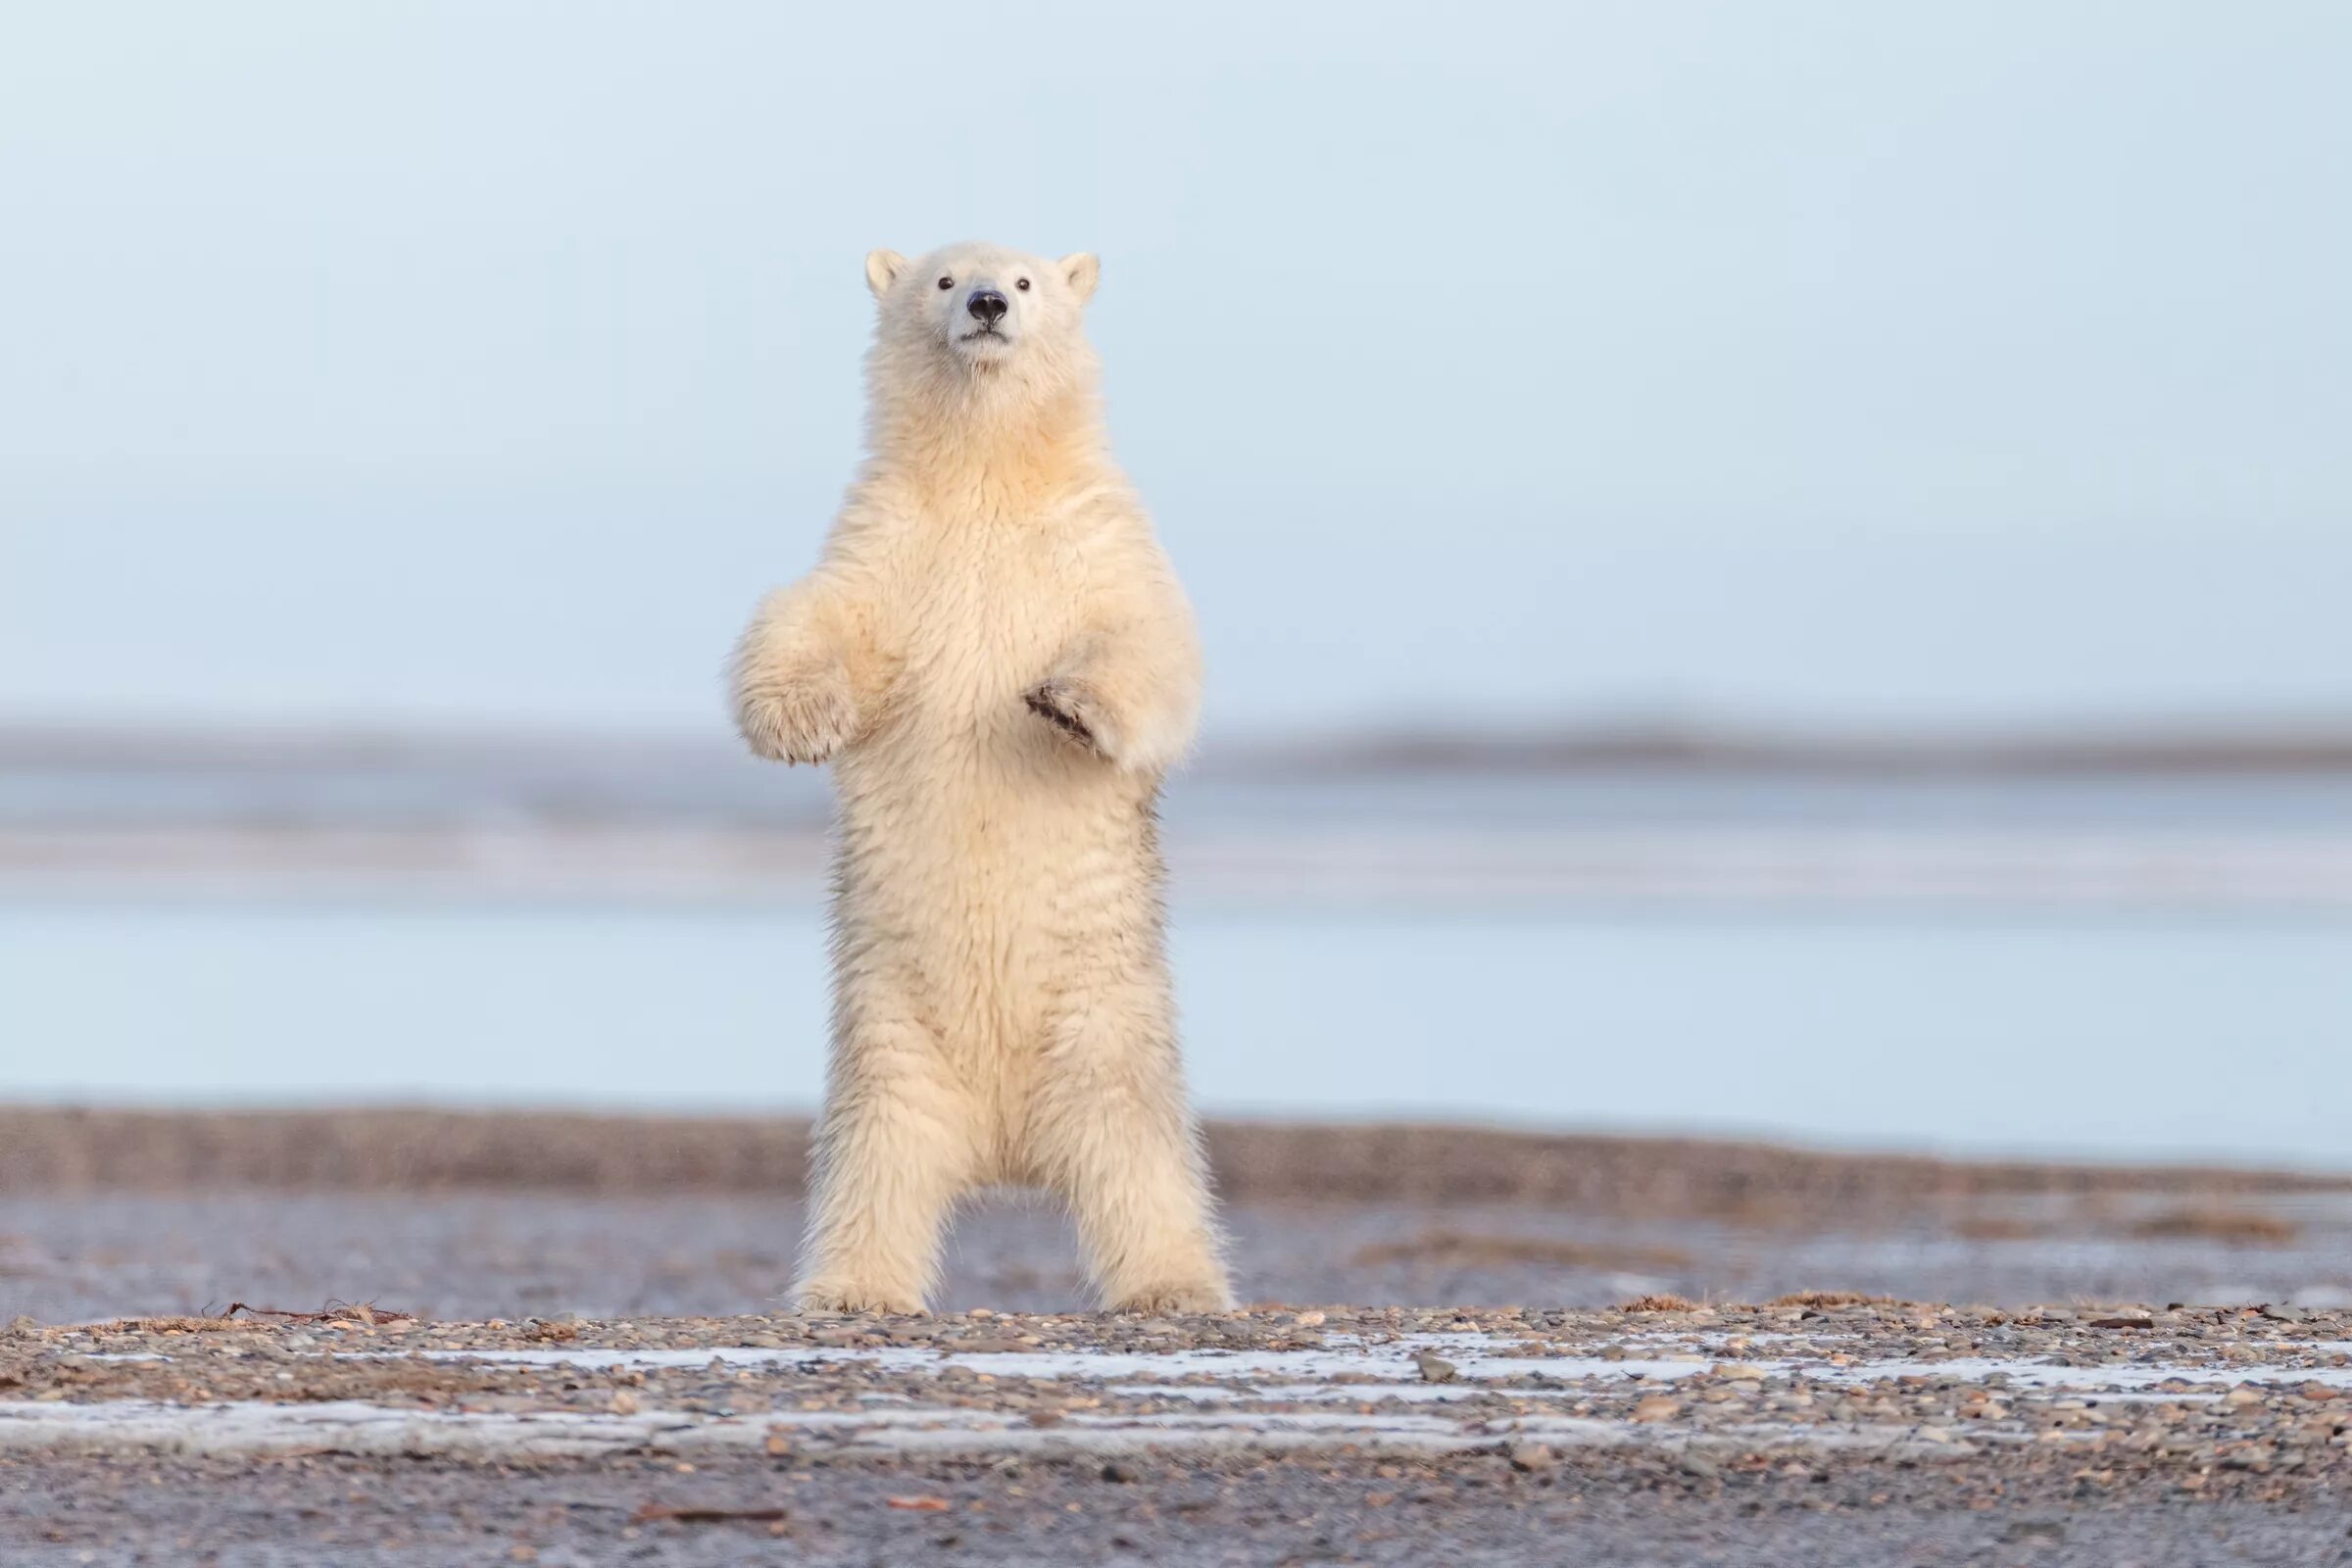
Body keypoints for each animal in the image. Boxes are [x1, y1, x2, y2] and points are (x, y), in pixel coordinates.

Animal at [724, 239, 1232, 1316]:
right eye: (945, 279)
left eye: (1029, 280)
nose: (992, 303)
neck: (990, 477)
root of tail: (1008, 1150)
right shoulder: (885, 543)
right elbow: (815, 619)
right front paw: (806, 718)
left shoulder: (1099, 537)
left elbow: (1149, 640)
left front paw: (1069, 704)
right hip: (890, 1043)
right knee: (875, 1168)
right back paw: (852, 1287)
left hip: (1105, 1028)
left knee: (1142, 1162)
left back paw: (1172, 1284)